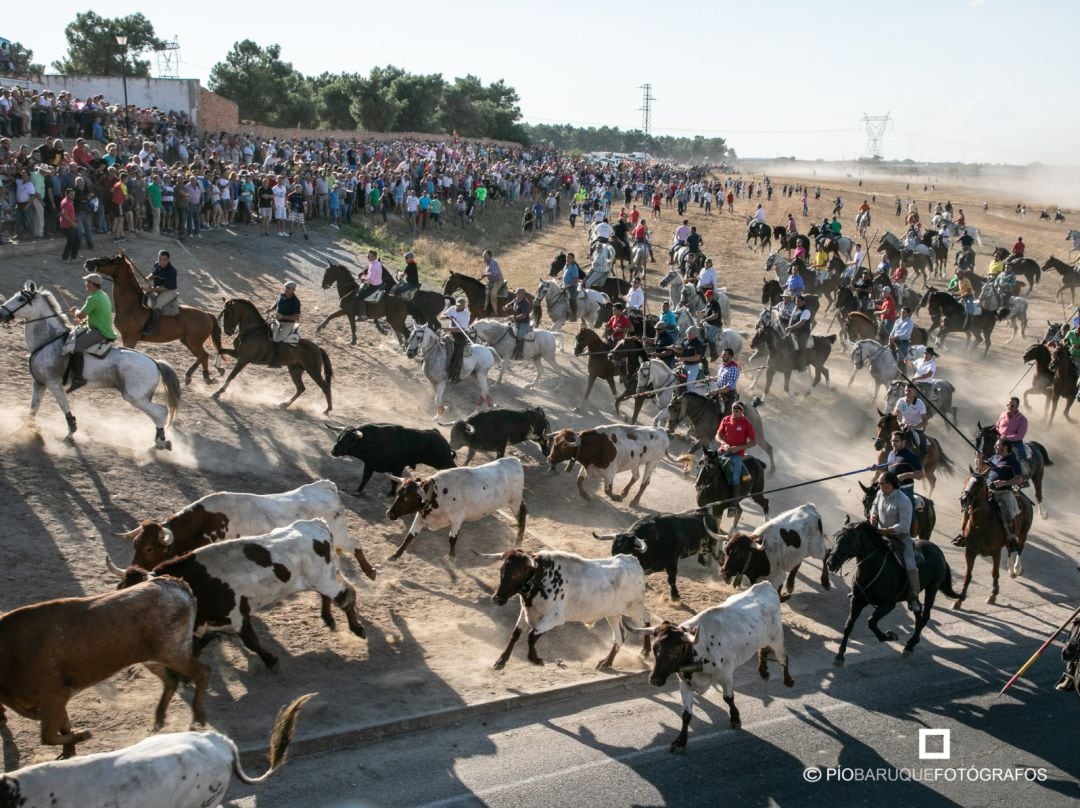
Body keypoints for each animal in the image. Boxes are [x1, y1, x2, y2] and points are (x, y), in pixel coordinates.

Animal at [0, 283, 181, 447]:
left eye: (21, 298)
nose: (1, 312)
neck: (49, 341)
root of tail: (154, 362)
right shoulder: (39, 383)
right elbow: (33, 409)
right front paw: (19, 430)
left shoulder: (54, 384)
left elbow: (65, 409)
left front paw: (70, 434)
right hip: (141, 398)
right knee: (160, 412)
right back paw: (160, 440)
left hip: (135, 397)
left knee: (160, 412)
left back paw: (160, 441)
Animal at [0, 578, 209, 756]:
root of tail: (175, 583)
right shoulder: (55, 702)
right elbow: (61, 727)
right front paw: (70, 751)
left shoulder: (55, 696)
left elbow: (48, 737)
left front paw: (84, 735)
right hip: (152, 657)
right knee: (171, 679)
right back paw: (159, 718)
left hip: (173, 651)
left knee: (202, 672)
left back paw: (198, 717)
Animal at [85, 253, 226, 384]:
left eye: (111, 260)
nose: (88, 262)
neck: (132, 305)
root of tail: (207, 315)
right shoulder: (125, 336)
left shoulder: (131, 337)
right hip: (187, 340)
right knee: (201, 356)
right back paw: (190, 375)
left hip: (194, 341)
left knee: (204, 355)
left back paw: (206, 377)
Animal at [825, 520, 963, 665]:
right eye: (836, 537)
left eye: (850, 540)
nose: (830, 562)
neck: (874, 567)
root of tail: (939, 552)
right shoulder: (857, 601)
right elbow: (848, 625)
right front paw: (840, 655)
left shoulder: (888, 604)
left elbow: (871, 621)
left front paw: (889, 636)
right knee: (918, 613)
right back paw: (913, 641)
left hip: (932, 588)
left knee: (925, 616)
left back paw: (909, 646)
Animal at [959, 470, 1032, 609]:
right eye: (965, 481)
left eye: (979, 484)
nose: (963, 499)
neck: (981, 524)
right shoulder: (969, 551)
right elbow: (968, 575)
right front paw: (959, 599)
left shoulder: (995, 552)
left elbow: (995, 573)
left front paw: (992, 596)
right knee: (1010, 549)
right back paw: (1011, 571)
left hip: (1023, 533)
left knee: (1019, 549)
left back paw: (1016, 569)